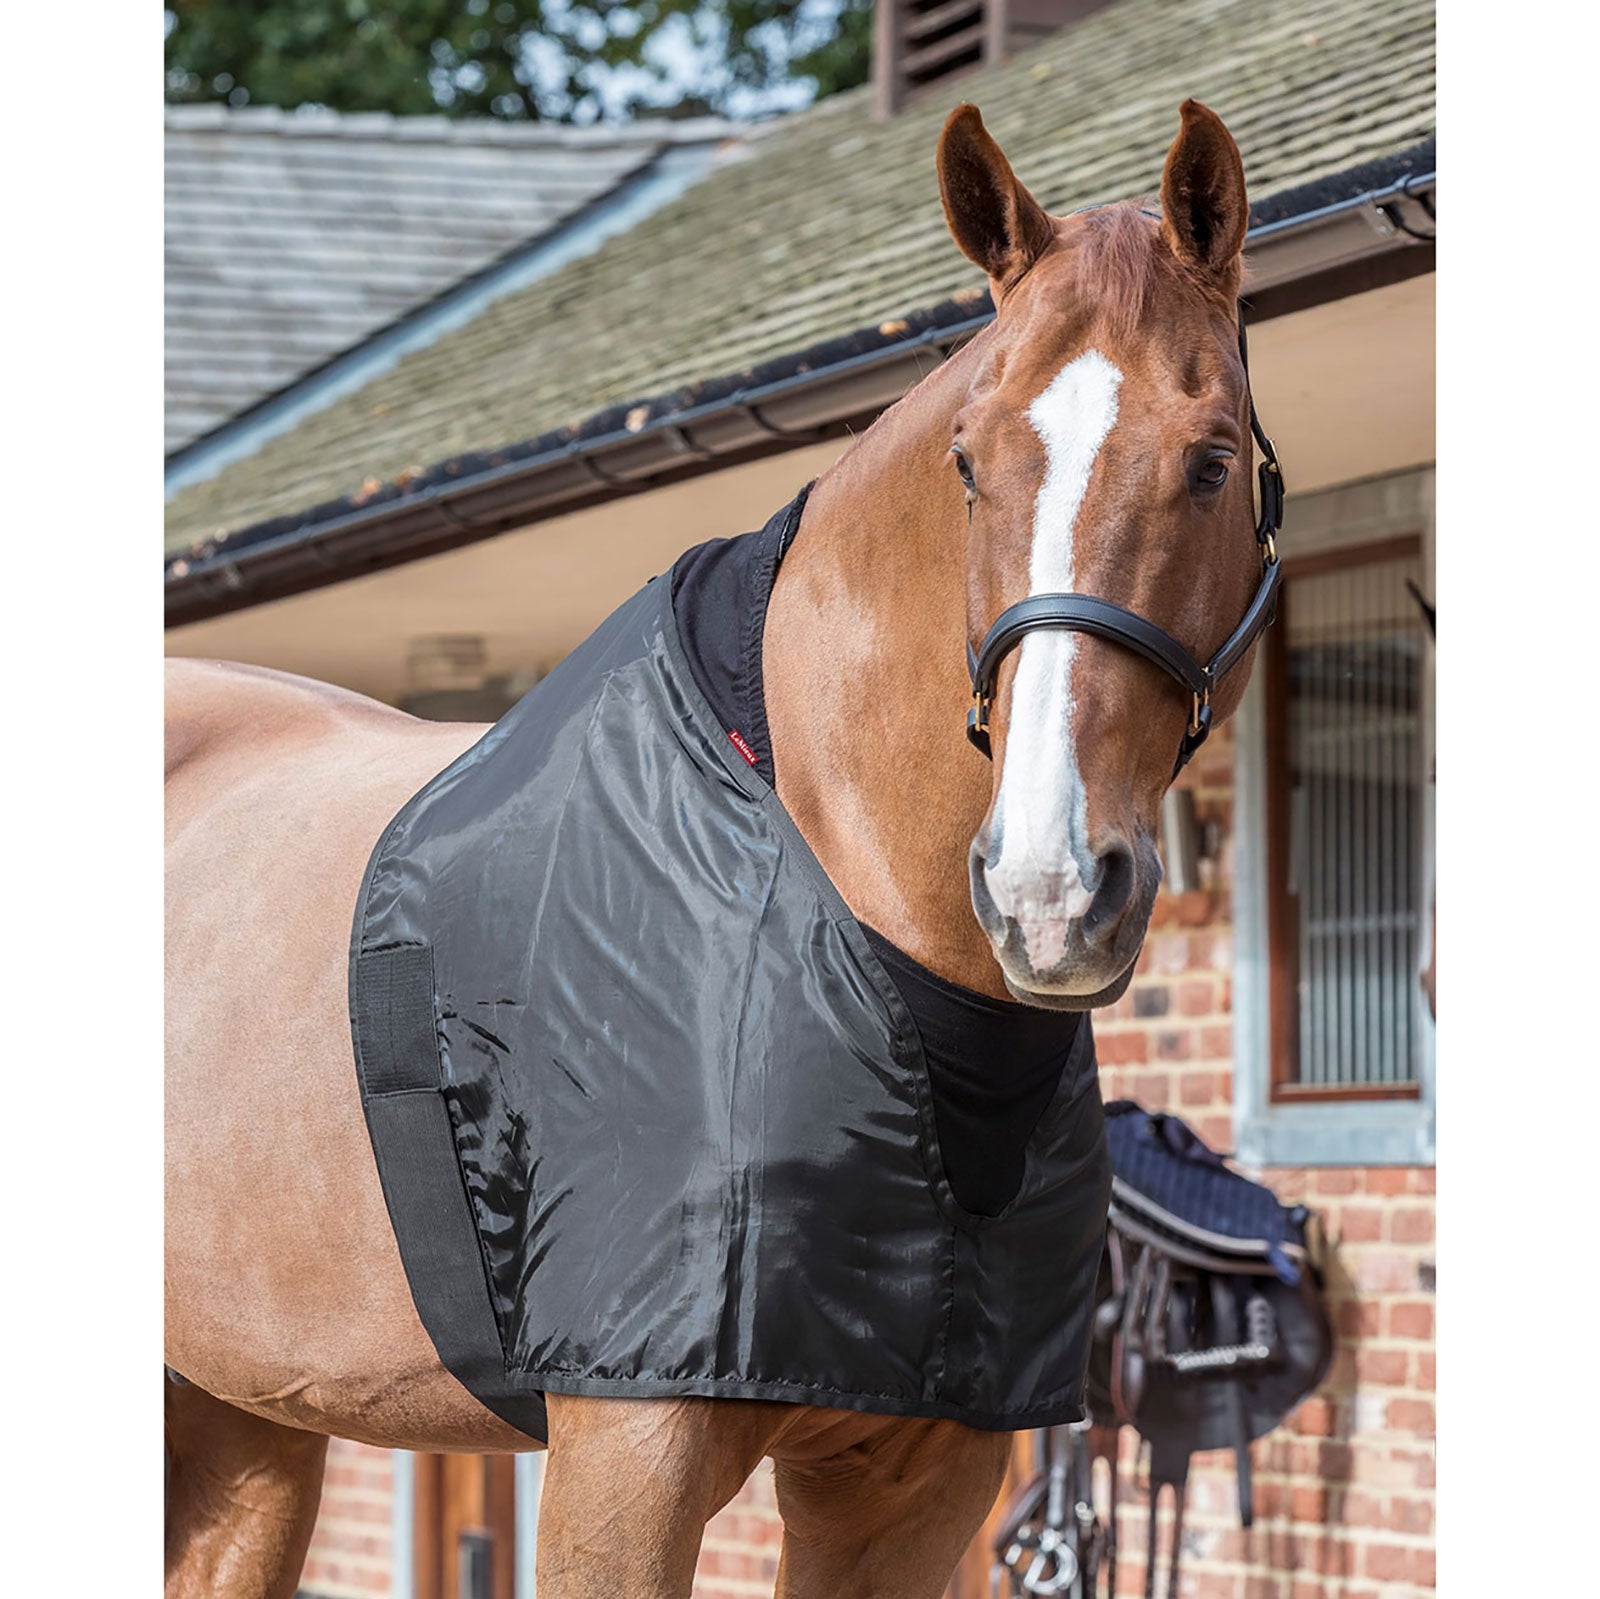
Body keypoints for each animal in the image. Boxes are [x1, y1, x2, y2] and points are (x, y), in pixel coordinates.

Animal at [165, 99, 1275, 1599]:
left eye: (1210, 459)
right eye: (970, 463)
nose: (1047, 889)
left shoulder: (918, 1478)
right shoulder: (623, 1452)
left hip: (246, 1424)